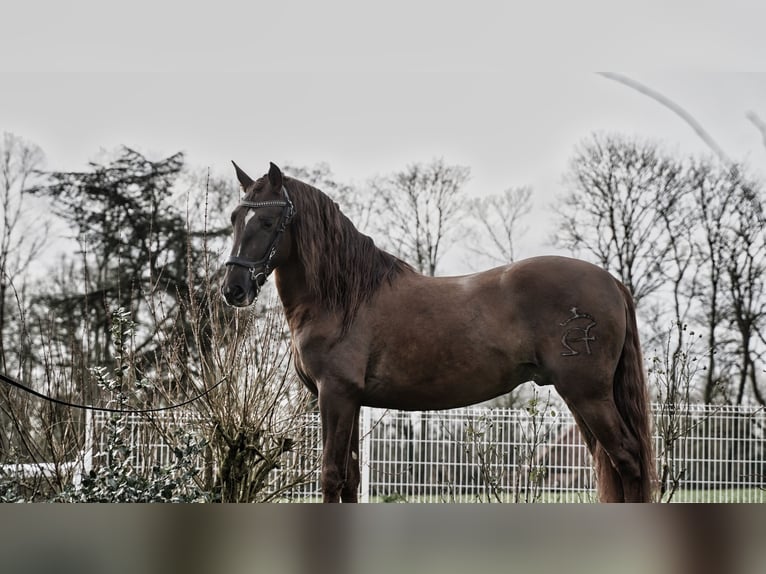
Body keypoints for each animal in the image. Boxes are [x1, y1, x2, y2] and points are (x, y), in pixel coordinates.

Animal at [222, 162, 660, 504]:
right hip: (582, 397)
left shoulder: (335, 395)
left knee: (627, 460)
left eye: (267, 221)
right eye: (234, 219)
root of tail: (611, 282)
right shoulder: (350, 401)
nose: (233, 289)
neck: (344, 297)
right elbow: (350, 480)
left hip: (588, 394)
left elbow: (331, 475)